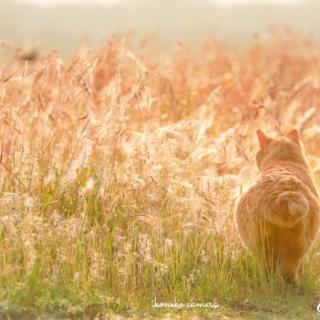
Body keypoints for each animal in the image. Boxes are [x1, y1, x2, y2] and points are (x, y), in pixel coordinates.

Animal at [235, 129, 320, 282]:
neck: (284, 160)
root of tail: (284, 195)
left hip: (264, 250)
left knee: (272, 273)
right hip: (295, 249)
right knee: (288, 275)